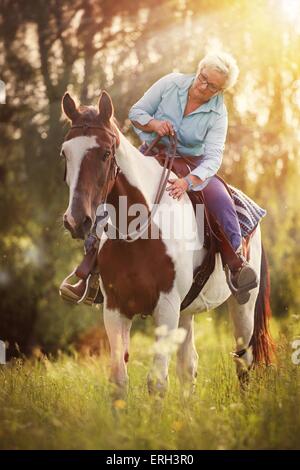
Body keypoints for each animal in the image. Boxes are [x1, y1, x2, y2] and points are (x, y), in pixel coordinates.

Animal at [59, 90, 274, 394]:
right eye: (65, 153)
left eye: (105, 153)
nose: (76, 220)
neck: (140, 229)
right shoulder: (115, 309)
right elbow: (119, 380)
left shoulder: (166, 306)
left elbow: (157, 381)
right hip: (186, 311)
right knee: (188, 366)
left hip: (242, 306)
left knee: (244, 360)